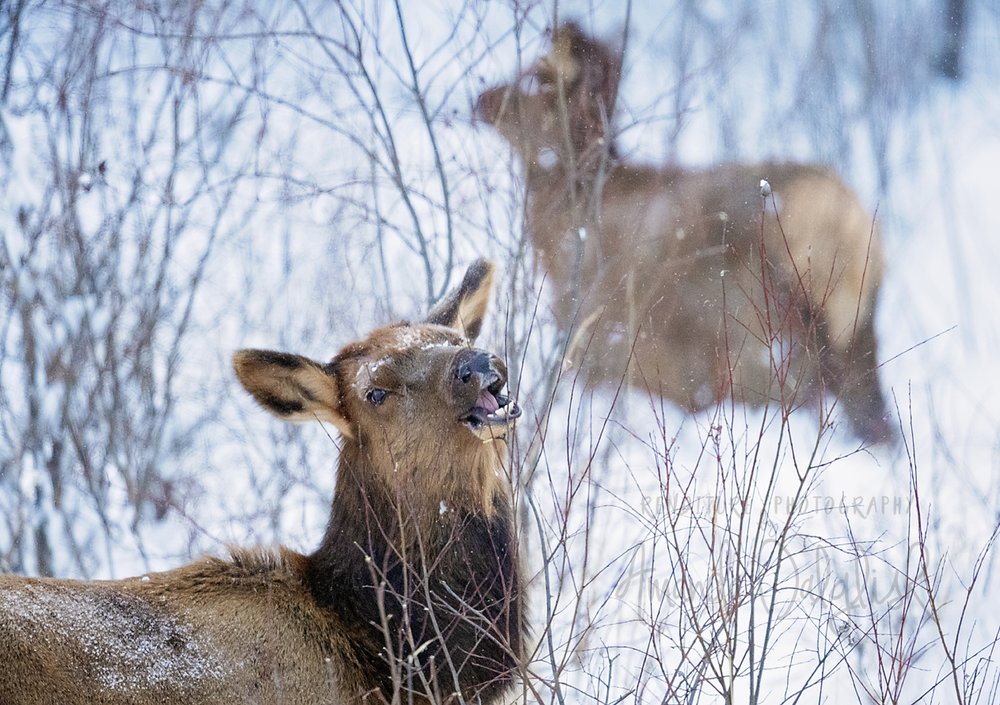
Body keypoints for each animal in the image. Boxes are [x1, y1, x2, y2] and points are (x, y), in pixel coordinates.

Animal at [476, 24, 892, 442]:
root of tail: (856, 229)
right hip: (855, 337)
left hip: (767, 334)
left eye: (538, 75)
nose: (481, 98)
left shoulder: (598, 348)